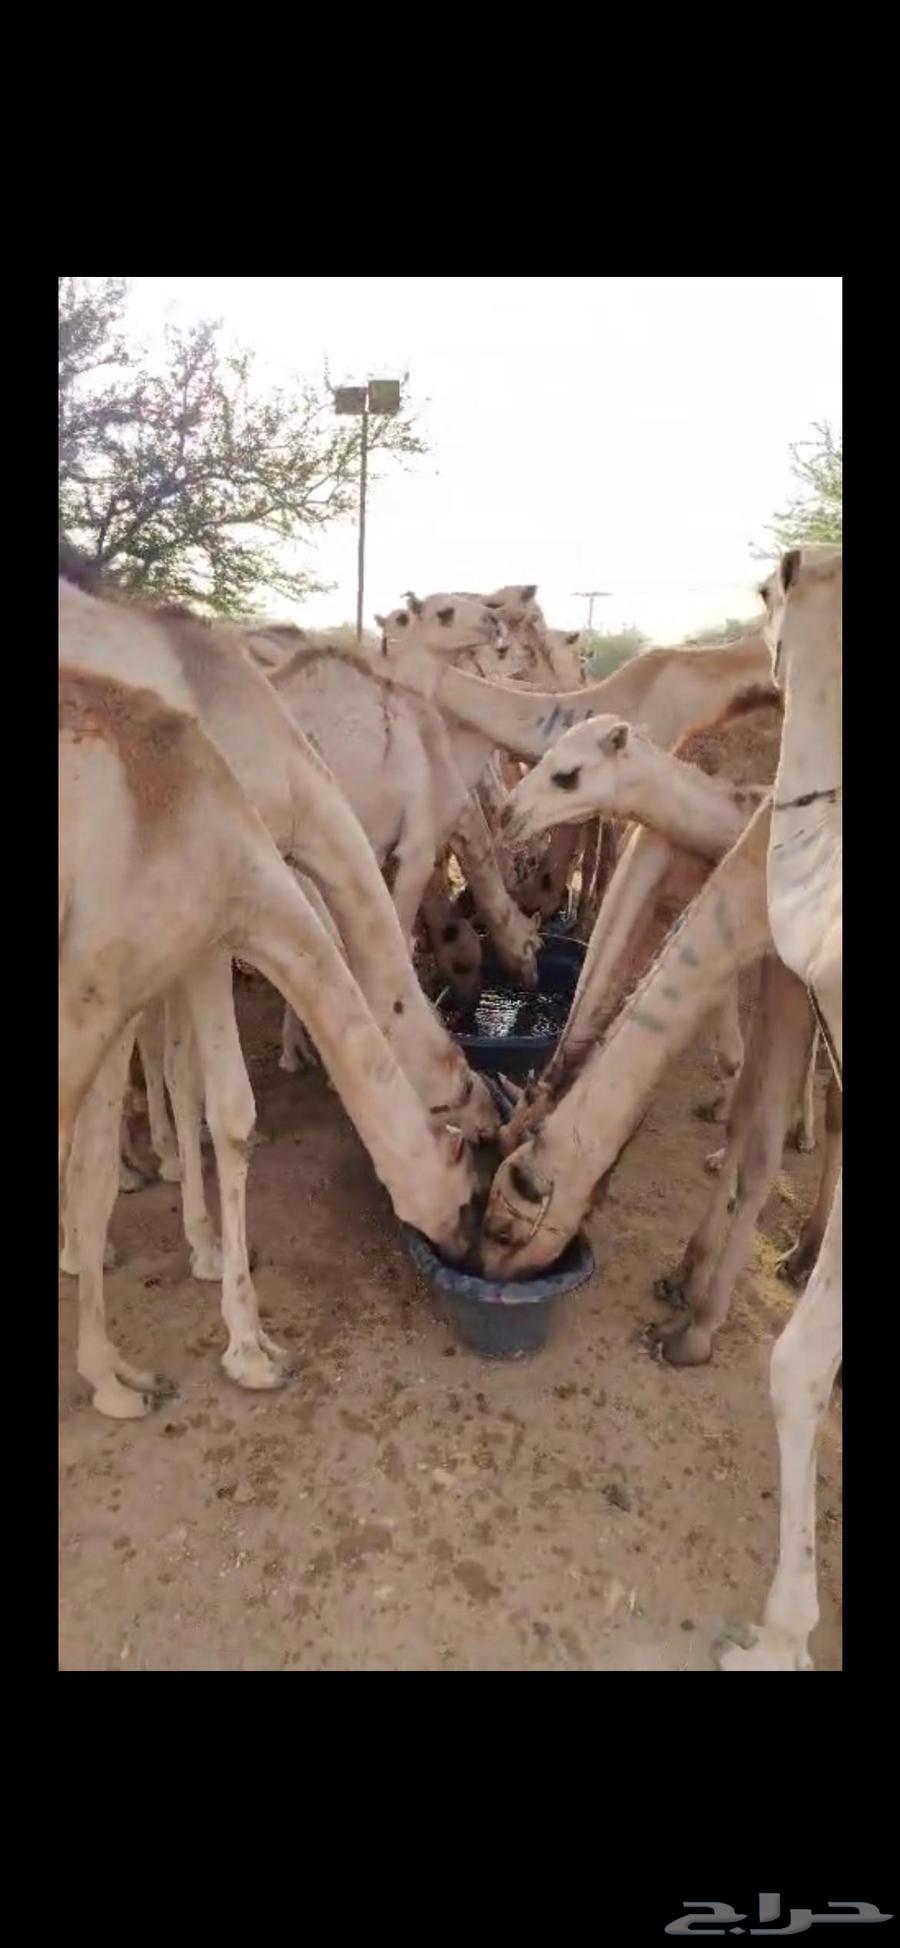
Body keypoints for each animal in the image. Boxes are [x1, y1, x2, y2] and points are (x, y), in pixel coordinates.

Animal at [59, 665, 482, 1418]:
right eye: (467, 1192)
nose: (470, 1249)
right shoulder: (98, 986)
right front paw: (135, 1377)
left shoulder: (147, 977)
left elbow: (111, 1156)